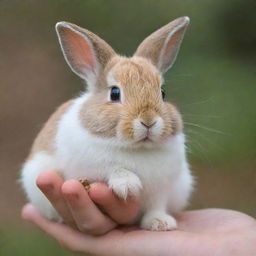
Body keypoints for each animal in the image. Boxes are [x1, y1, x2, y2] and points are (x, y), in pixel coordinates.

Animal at [21, 16, 193, 232]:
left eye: (162, 93)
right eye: (115, 93)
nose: (148, 121)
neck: (137, 148)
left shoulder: (161, 189)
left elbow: (156, 206)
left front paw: (161, 222)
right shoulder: (94, 168)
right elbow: (114, 169)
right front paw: (128, 185)